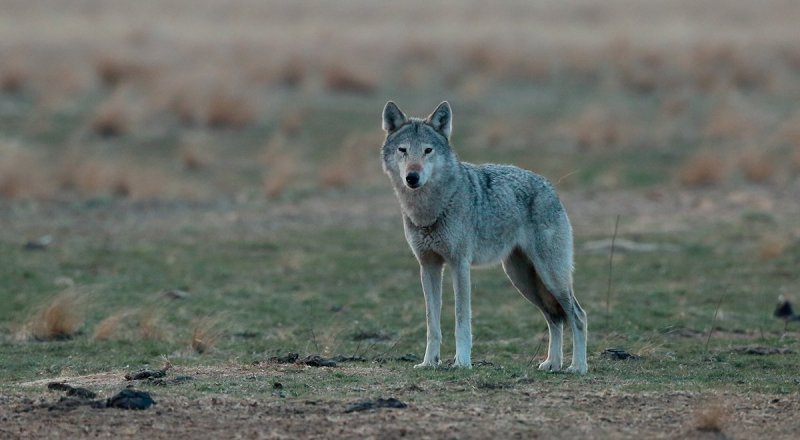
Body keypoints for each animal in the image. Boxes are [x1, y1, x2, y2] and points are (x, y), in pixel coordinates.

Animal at [382, 101, 588, 372]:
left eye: (427, 150)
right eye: (403, 150)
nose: (412, 177)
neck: (430, 211)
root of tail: (550, 186)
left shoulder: (459, 265)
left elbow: (461, 320)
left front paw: (462, 363)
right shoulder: (428, 266)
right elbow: (432, 324)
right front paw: (429, 363)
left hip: (551, 277)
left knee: (578, 316)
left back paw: (578, 367)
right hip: (523, 280)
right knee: (554, 318)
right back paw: (552, 364)